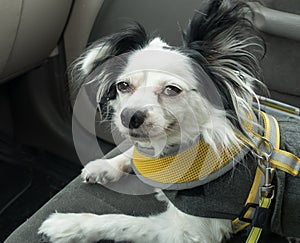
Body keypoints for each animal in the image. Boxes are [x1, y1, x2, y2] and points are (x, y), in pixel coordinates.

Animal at [39, 0, 300, 242]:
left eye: (171, 90)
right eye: (123, 86)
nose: (128, 116)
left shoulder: (188, 232)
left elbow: (121, 222)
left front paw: (68, 225)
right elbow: (131, 154)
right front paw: (105, 166)